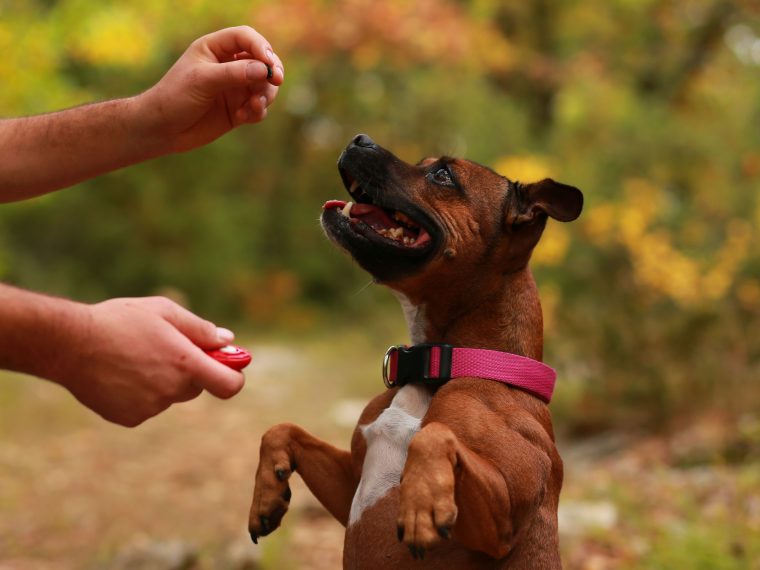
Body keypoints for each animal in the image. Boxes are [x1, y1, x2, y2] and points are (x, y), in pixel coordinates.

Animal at [248, 135, 580, 564]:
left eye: (443, 174)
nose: (360, 139)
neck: (437, 365)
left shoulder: (504, 516)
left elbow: (434, 434)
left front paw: (421, 503)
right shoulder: (349, 482)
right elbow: (282, 428)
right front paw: (266, 492)